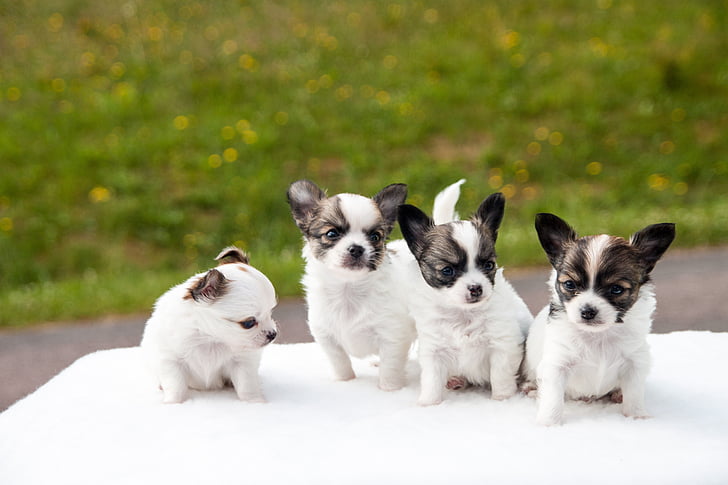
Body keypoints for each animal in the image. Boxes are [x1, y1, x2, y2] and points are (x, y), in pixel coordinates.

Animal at [141, 246, 278, 400]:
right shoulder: (171, 360)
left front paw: (254, 401)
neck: (210, 338)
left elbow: (246, 385)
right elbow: (175, 386)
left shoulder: (243, 361)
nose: (273, 334)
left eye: (270, 313)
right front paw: (174, 401)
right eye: (249, 323)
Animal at [288, 180, 418, 392]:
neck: (348, 289)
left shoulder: (392, 336)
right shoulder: (326, 336)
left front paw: (390, 388)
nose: (357, 248)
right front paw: (345, 381)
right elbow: (339, 361)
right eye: (332, 233)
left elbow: (391, 366)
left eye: (375, 237)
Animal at [396, 179, 532, 404]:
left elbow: (500, 377)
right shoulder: (434, 351)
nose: (476, 288)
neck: (463, 314)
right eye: (447, 271)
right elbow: (431, 381)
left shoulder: (502, 346)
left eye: (488, 265)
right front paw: (428, 403)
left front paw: (502, 399)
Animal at [524, 214, 676, 426]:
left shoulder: (635, 363)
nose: (588, 311)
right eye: (569, 285)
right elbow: (553, 399)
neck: (598, 335)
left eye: (616, 289)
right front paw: (548, 423)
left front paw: (637, 416)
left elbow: (635, 395)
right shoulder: (557, 364)